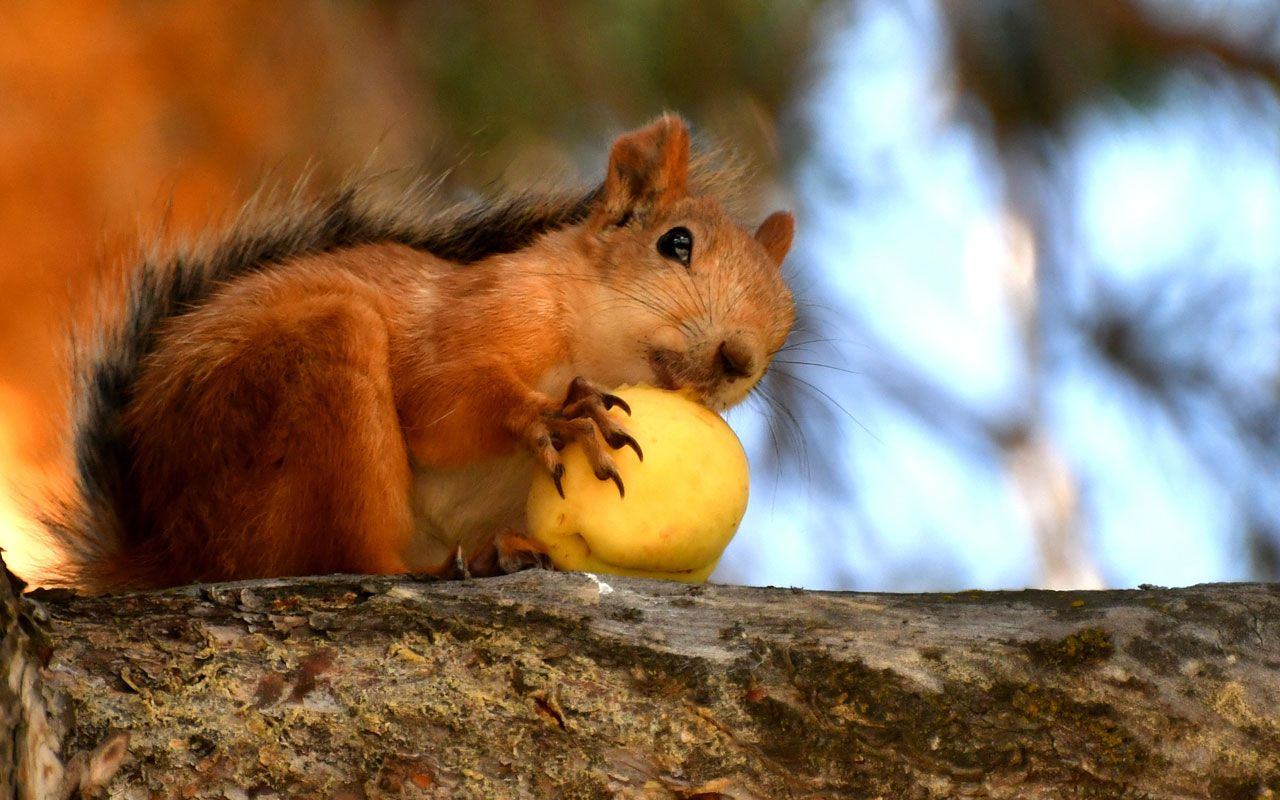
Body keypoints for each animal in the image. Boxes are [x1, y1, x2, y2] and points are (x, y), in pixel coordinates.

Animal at [45, 117, 793, 593]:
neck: (600, 350)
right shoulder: (482, 311)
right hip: (307, 384)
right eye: (676, 243)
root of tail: (163, 548)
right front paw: (559, 413)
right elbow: (440, 396)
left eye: (787, 319)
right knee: (348, 560)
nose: (739, 358)